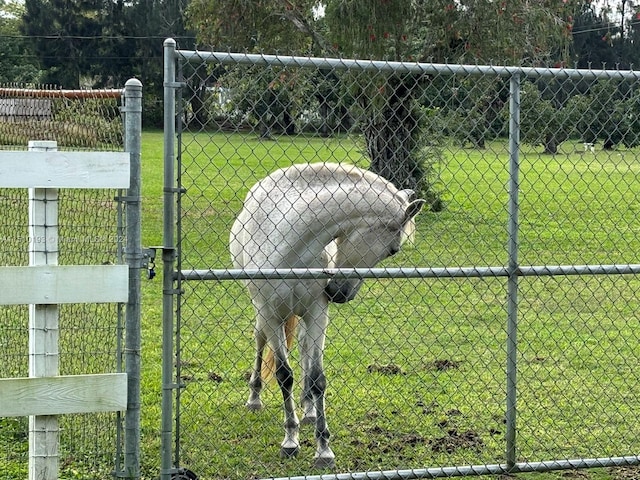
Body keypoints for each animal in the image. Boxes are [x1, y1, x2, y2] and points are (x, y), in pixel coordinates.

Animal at [230, 163, 424, 466]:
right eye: (394, 250)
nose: (341, 294)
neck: (290, 244)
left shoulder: (317, 312)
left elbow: (317, 378)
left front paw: (323, 449)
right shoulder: (270, 314)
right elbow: (284, 375)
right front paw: (290, 440)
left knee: (305, 349)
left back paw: (309, 411)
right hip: (263, 315)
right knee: (260, 342)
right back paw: (255, 398)